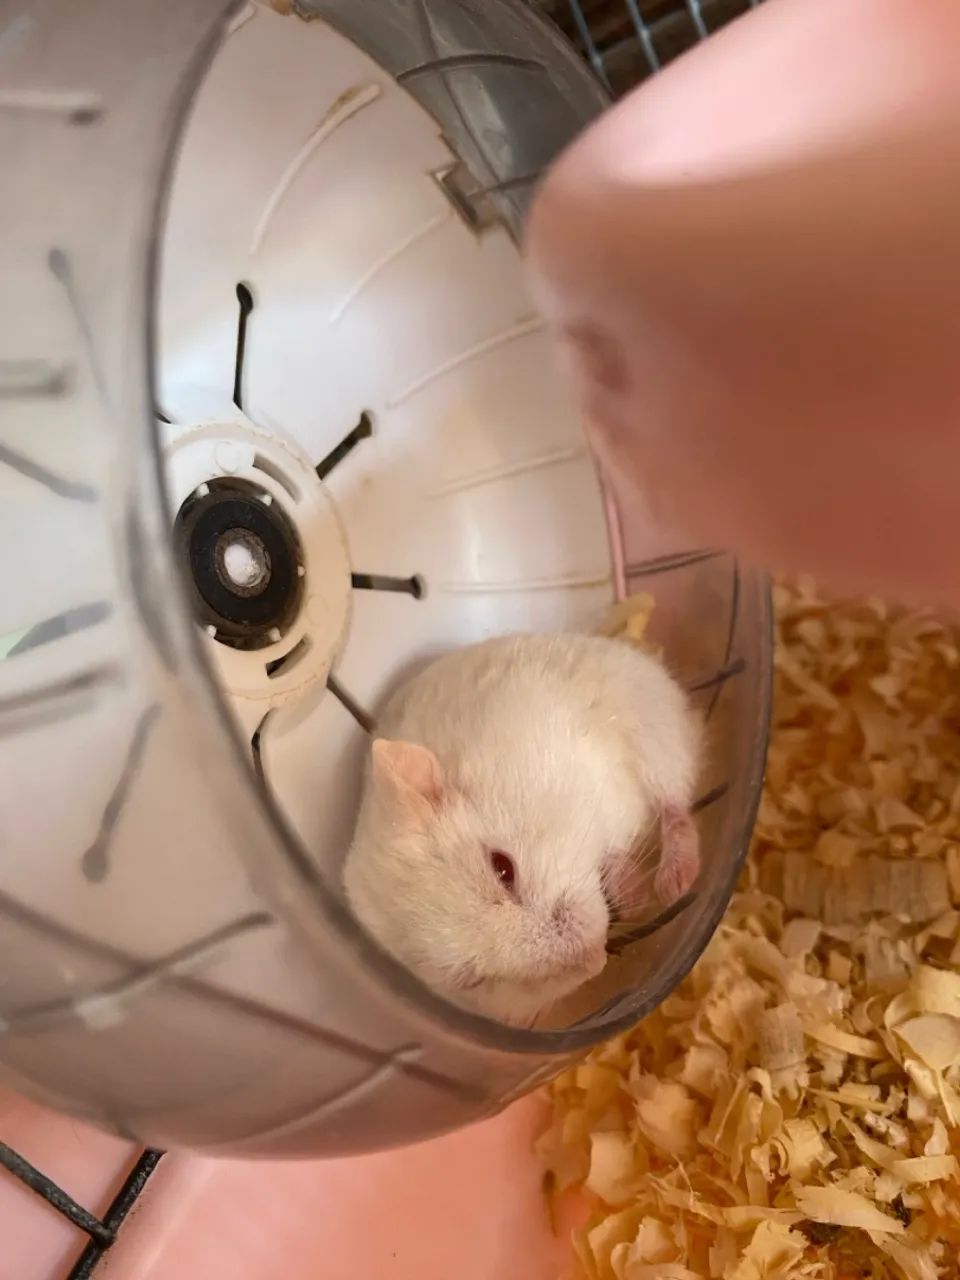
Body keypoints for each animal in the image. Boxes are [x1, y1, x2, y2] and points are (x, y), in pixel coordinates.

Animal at [342, 632, 702, 1027]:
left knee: (675, 805)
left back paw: (675, 883)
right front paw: (636, 903)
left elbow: (616, 839)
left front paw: (639, 899)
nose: (596, 958)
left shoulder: (601, 783)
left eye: (503, 867)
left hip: (656, 732)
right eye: (473, 979)